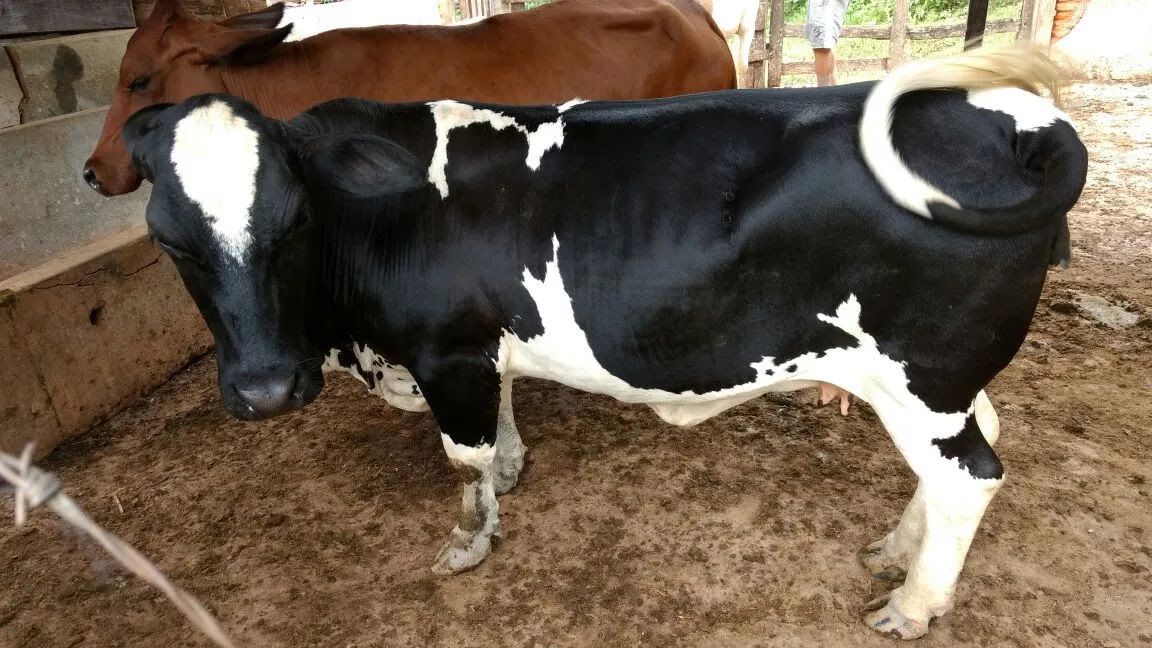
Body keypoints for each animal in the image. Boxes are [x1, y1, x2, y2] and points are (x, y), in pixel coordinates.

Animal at [121, 46, 1086, 639]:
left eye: (293, 222)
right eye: (169, 241)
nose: (265, 390)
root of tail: (1012, 115)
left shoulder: (447, 352)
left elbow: (463, 459)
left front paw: (471, 540)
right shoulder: (484, 348)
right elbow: (504, 422)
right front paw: (512, 472)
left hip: (919, 374)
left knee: (970, 476)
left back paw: (915, 603)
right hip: (941, 376)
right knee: (979, 442)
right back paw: (895, 548)